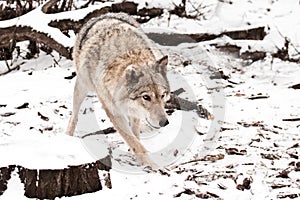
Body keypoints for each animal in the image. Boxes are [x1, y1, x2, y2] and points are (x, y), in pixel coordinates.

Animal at [66, 12, 170, 169]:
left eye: (162, 95)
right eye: (146, 97)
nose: (165, 122)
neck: (128, 55)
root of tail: (103, 15)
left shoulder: (133, 111)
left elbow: (135, 136)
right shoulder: (114, 112)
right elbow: (133, 140)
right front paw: (151, 165)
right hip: (82, 86)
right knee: (74, 115)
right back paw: (67, 136)